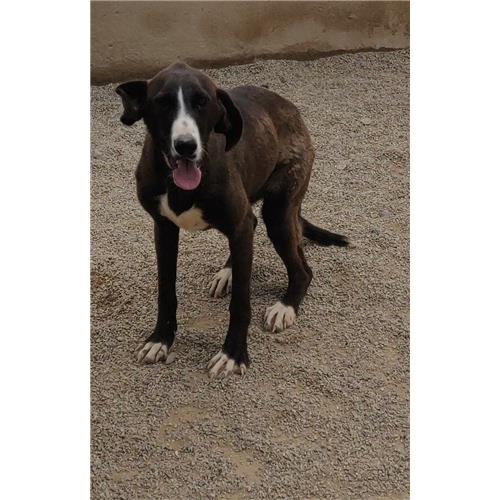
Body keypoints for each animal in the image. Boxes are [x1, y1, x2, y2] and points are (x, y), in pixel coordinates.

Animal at [116, 62, 348, 378]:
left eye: (202, 102)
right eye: (162, 102)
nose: (186, 146)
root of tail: (292, 110)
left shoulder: (238, 225)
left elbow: (241, 302)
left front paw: (233, 354)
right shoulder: (163, 228)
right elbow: (166, 291)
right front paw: (160, 339)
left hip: (279, 211)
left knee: (302, 270)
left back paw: (285, 306)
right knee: (251, 235)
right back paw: (229, 272)